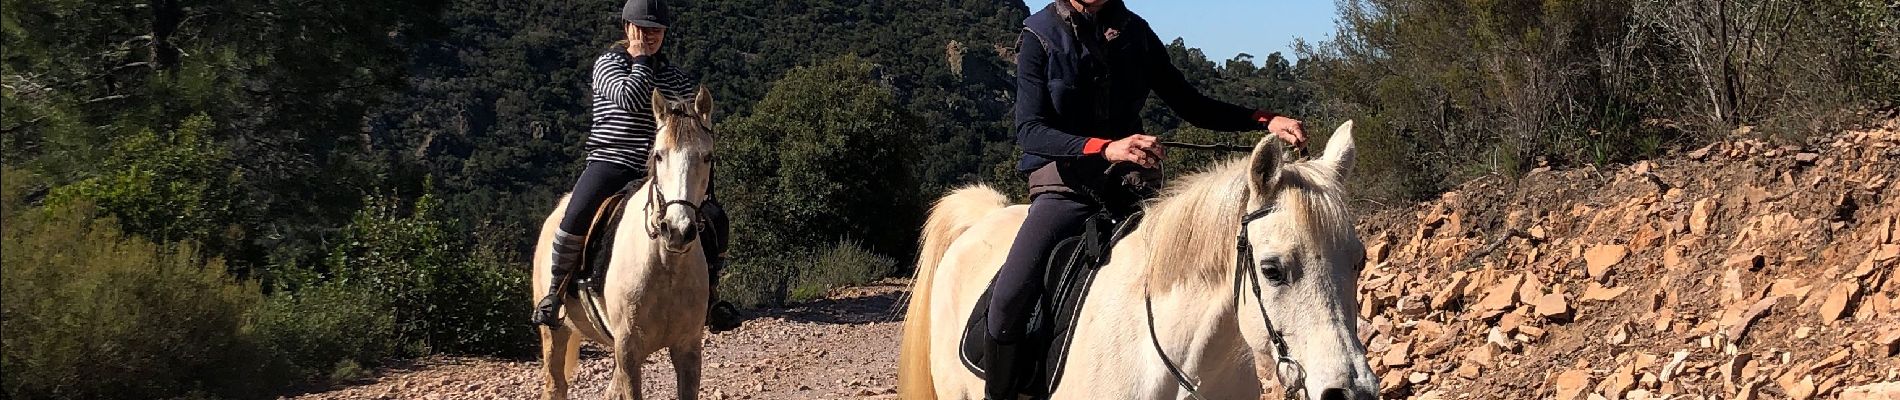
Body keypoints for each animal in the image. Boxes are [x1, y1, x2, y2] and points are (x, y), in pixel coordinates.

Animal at [532, 87, 714, 400]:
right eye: (659, 156)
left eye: (706, 157)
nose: (677, 231)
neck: (666, 264)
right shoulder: (628, 350)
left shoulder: (688, 347)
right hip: (556, 331)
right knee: (556, 385)